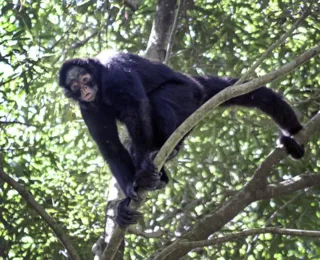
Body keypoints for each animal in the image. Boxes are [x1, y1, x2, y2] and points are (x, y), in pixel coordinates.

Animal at [58, 51, 304, 228]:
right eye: (75, 86)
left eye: (86, 78)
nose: (86, 90)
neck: (100, 84)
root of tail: (195, 82)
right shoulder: (87, 108)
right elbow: (110, 146)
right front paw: (128, 193)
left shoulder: (115, 72)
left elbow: (136, 111)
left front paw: (143, 173)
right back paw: (160, 174)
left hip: (187, 95)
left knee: (159, 99)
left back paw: (164, 152)